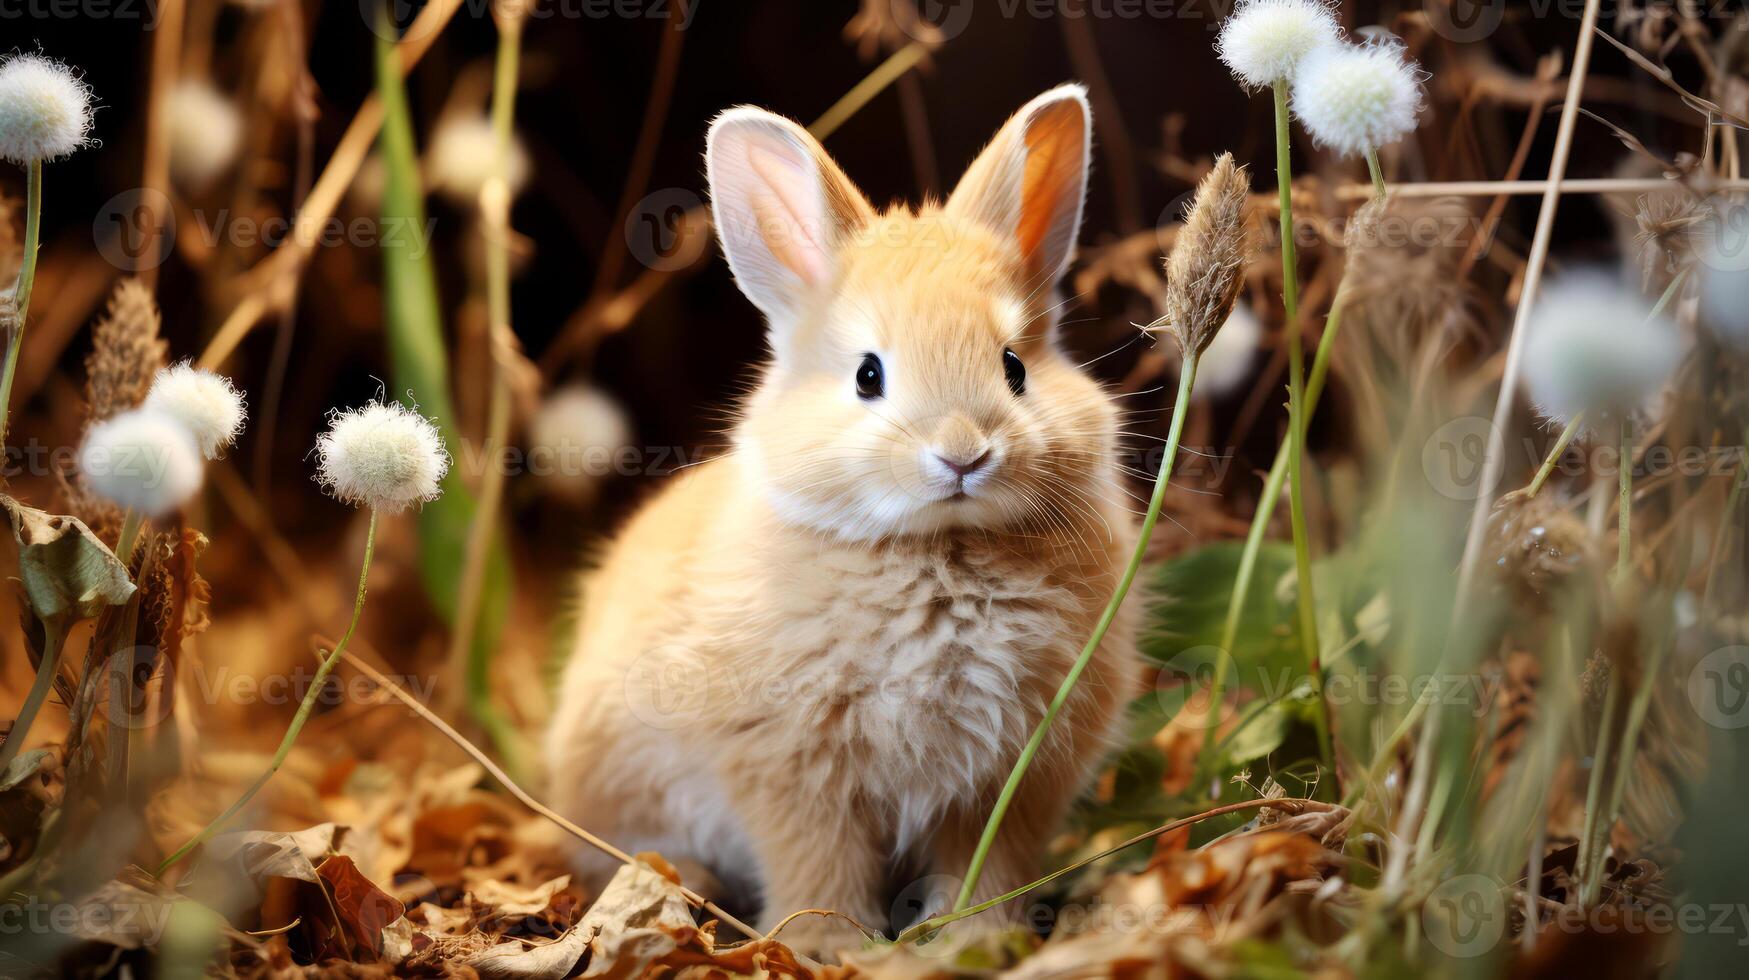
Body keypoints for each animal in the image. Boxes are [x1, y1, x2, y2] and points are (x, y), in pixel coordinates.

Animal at [549, 84, 1147, 959]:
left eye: (1014, 367)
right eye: (868, 376)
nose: (962, 453)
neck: (939, 548)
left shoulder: (1008, 778)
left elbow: (985, 862)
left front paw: (976, 939)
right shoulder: (792, 767)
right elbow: (817, 857)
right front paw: (828, 948)